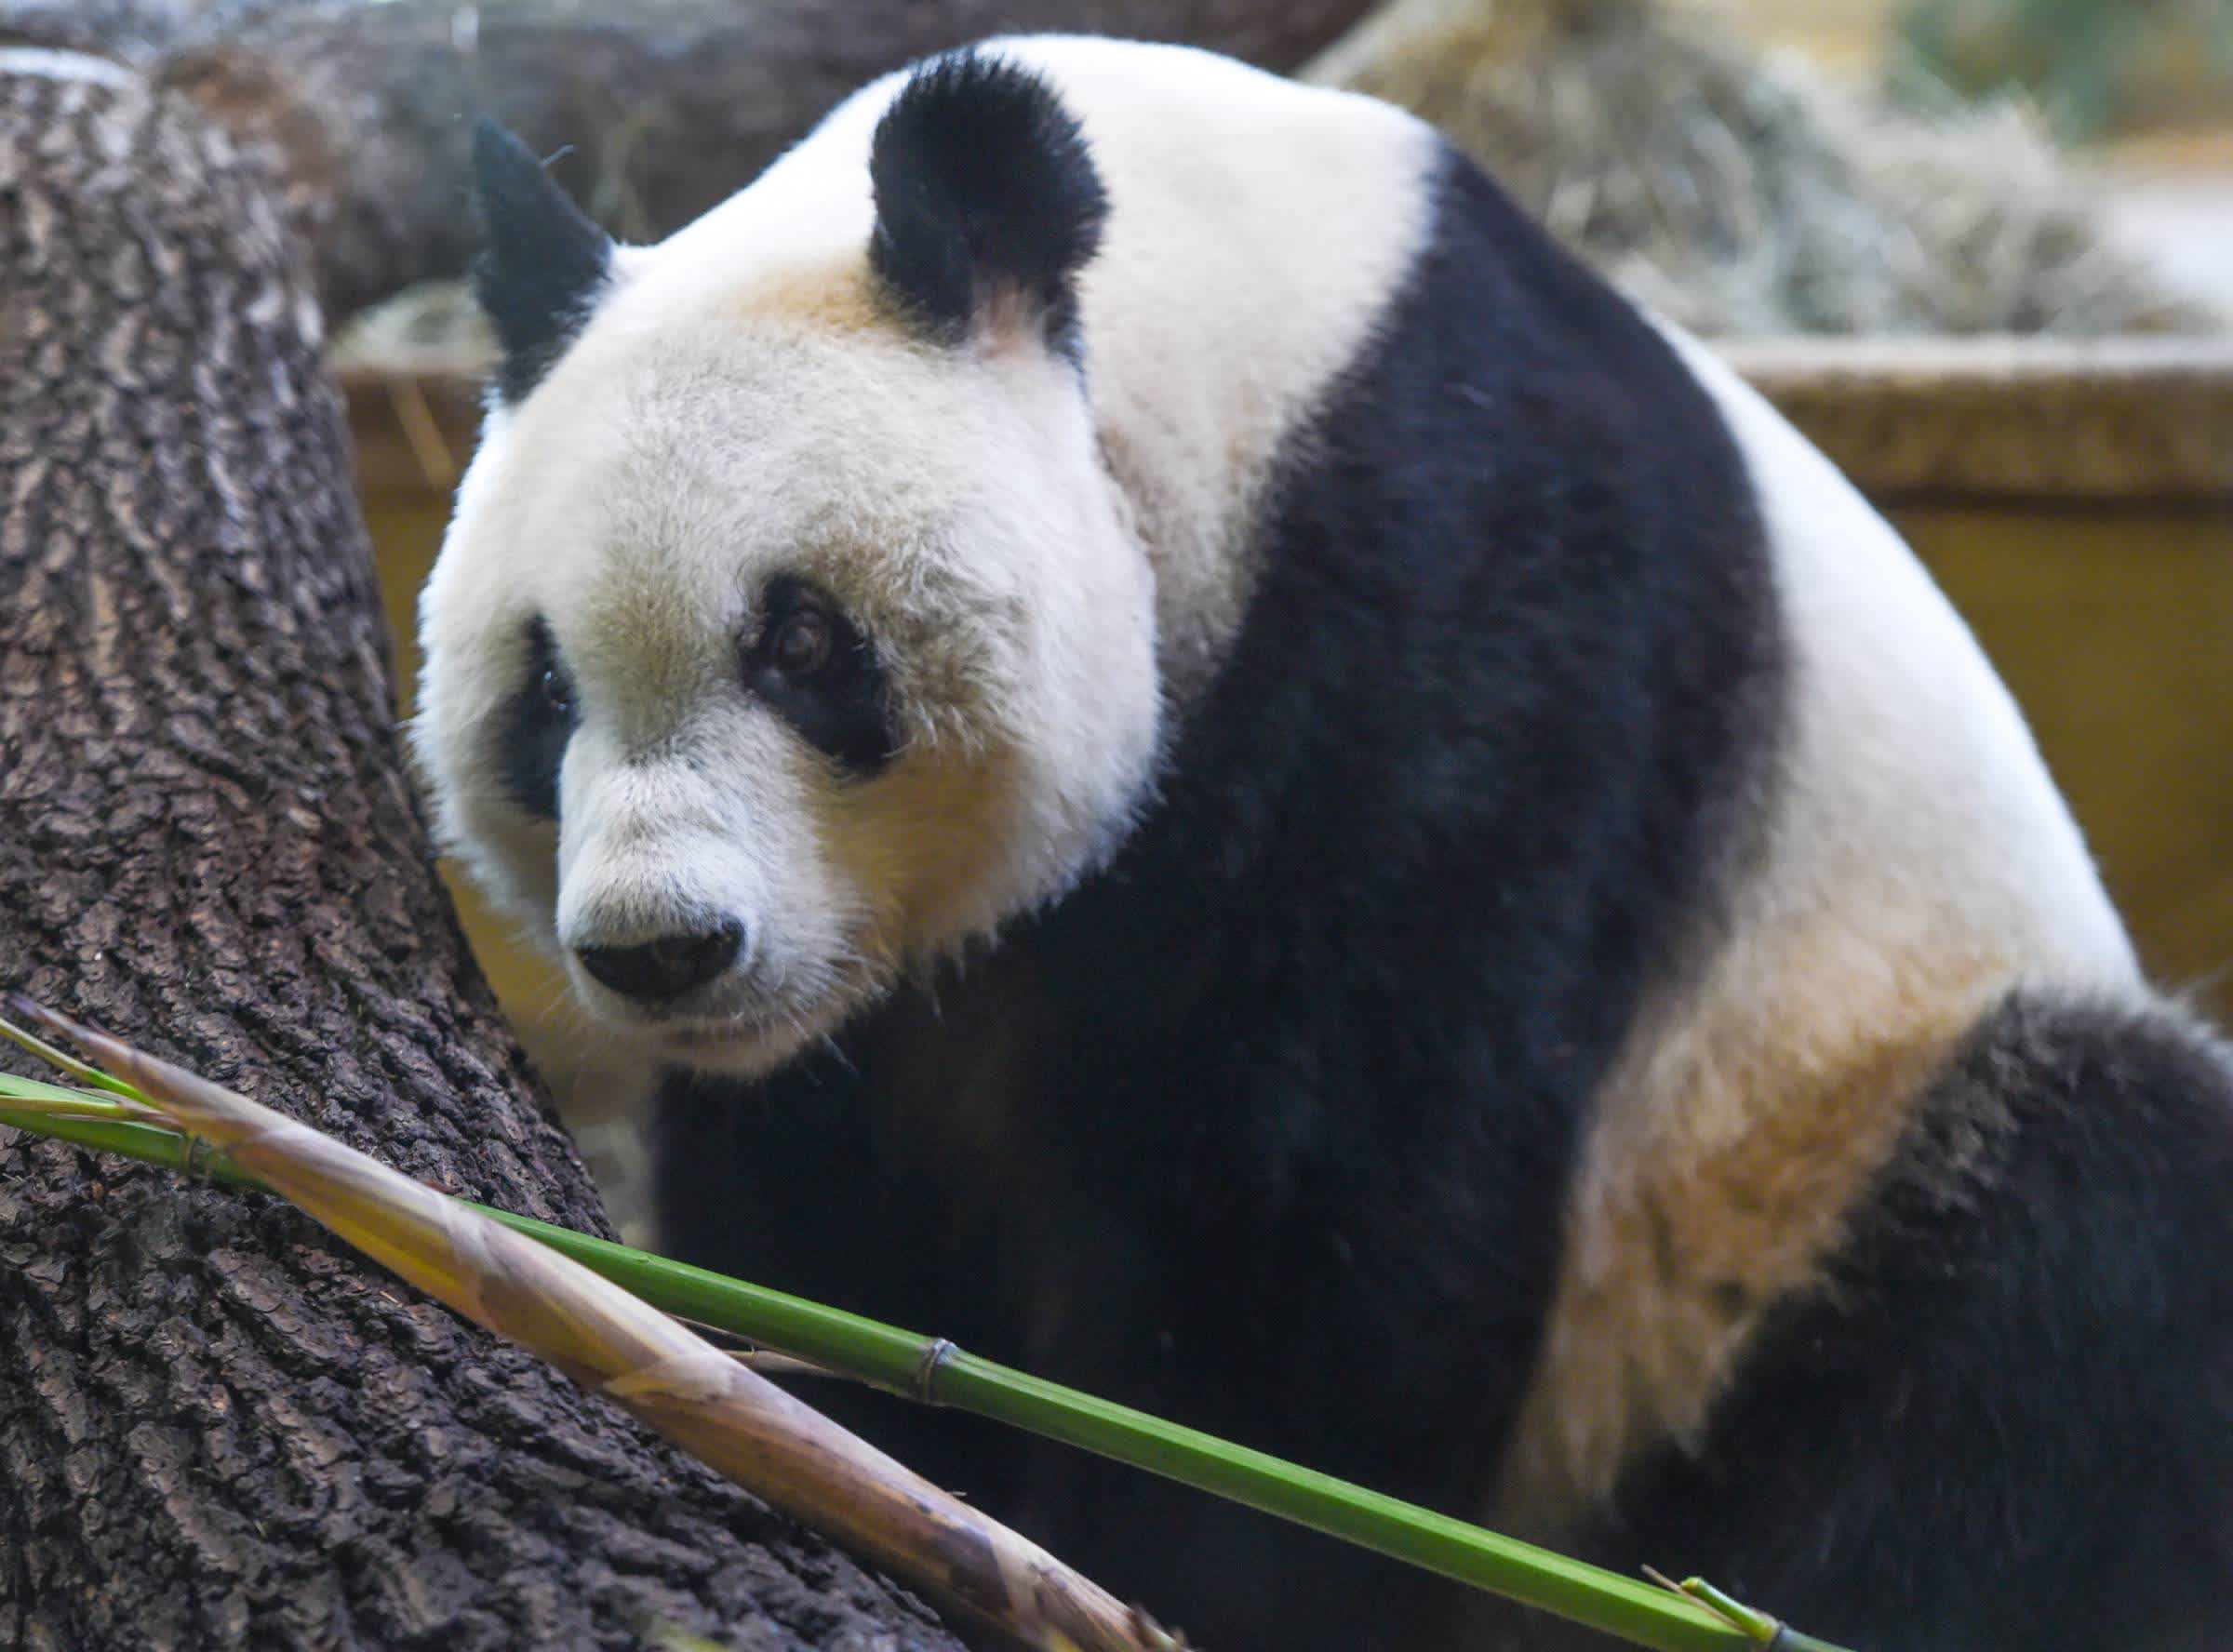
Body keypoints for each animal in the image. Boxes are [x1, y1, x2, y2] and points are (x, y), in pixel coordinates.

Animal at [420, 38, 2233, 1652]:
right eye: (545, 689)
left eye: (801, 644)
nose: (663, 949)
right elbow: (840, 1213)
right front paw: (863, 1430)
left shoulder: (1457, 606)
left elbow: (1325, 1206)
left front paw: (1179, 1560)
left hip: (1809, 1141)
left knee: (2073, 1274)